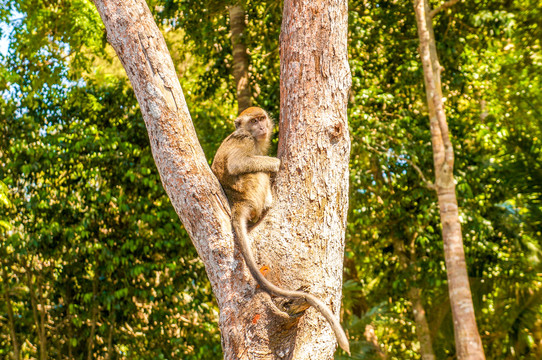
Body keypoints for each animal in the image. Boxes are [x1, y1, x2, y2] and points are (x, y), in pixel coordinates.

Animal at [210, 107, 350, 354]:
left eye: (261, 119)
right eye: (253, 121)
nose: (261, 126)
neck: (251, 136)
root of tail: (239, 203)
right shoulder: (245, 140)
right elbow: (237, 164)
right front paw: (276, 163)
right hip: (251, 188)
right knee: (256, 171)